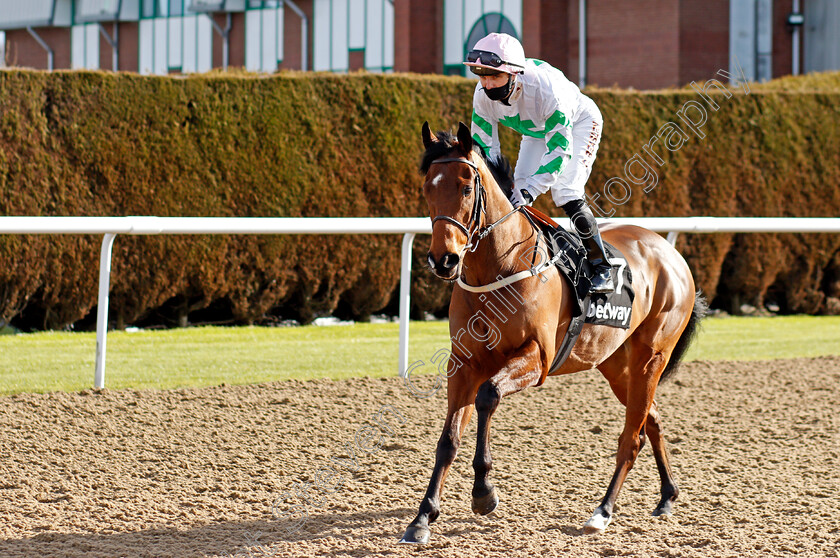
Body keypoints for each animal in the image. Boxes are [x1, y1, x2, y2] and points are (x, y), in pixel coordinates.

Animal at [404, 122, 704, 548]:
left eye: (465, 187)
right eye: (428, 187)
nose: (443, 259)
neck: (499, 267)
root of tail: (670, 252)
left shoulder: (537, 358)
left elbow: (487, 396)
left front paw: (484, 492)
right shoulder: (463, 361)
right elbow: (448, 439)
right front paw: (423, 517)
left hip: (652, 355)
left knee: (631, 438)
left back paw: (602, 512)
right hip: (616, 364)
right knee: (652, 420)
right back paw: (666, 497)